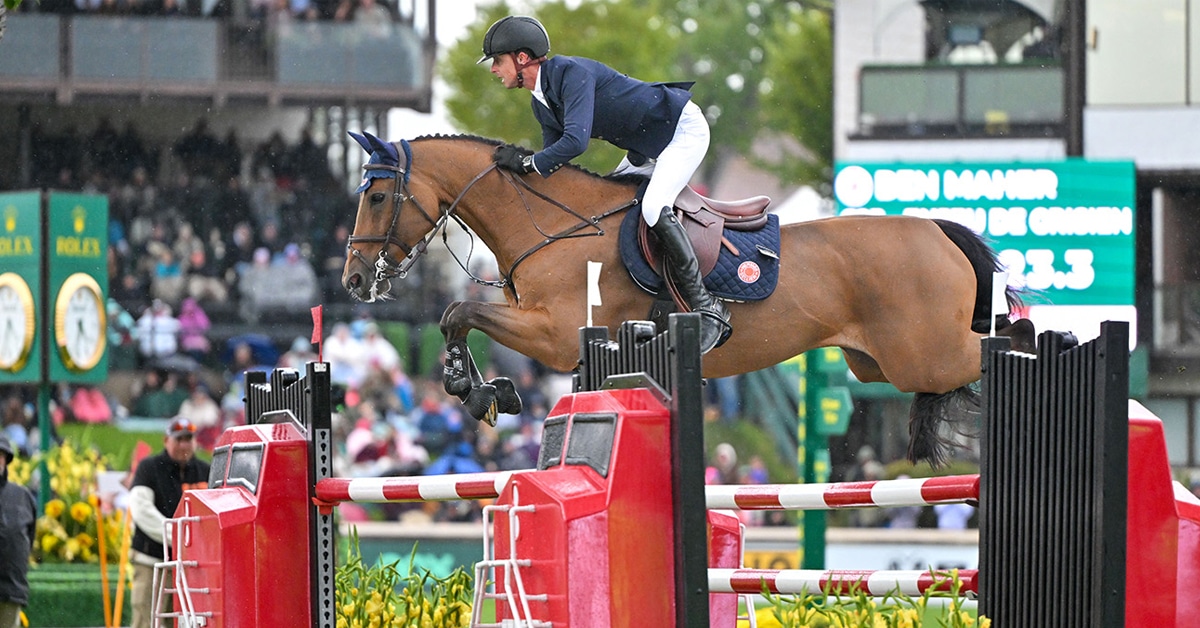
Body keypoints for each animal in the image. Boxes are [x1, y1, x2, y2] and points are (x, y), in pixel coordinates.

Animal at [341, 131, 1033, 465]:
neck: (554, 223)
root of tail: (935, 228)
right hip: (878, 364)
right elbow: (458, 316)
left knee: (1009, 341)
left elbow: (459, 311)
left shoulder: (555, 334)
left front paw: (475, 388)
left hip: (924, 354)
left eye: (376, 195)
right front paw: (485, 390)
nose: (351, 280)